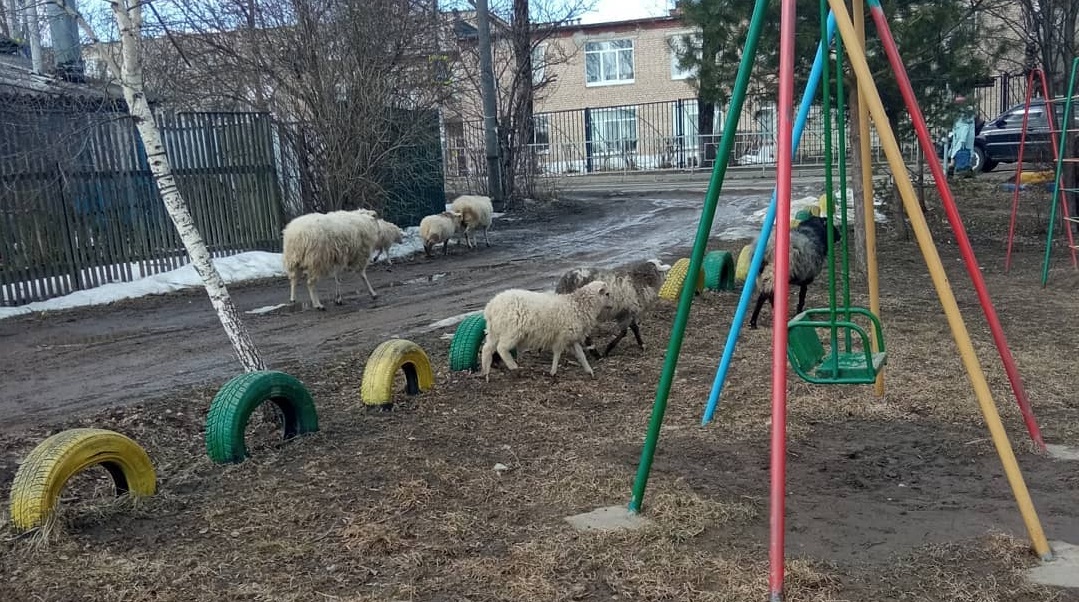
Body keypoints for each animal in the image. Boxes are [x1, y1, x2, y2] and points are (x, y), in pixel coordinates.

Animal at [483, 280, 617, 379]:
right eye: (607, 294)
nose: (613, 306)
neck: (577, 305)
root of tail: (491, 307)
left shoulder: (571, 337)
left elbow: (581, 355)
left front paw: (589, 370)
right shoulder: (562, 336)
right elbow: (557, 353)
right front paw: (553, 371)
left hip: (495, 331)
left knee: (487, 348)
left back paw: (485, 371)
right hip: (511, 332)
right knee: (501, 348)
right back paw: (513, 366)